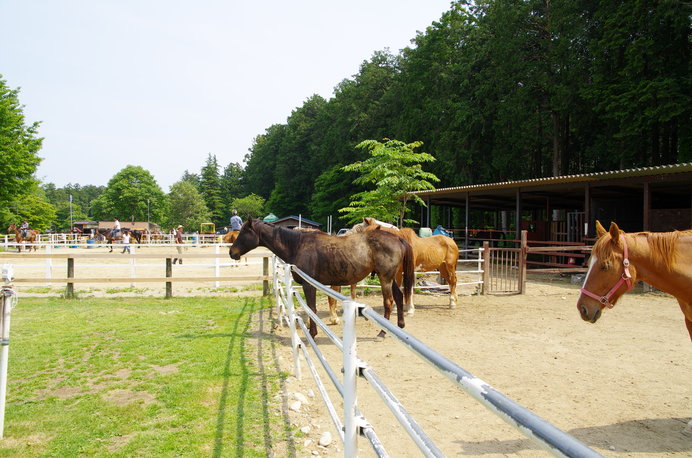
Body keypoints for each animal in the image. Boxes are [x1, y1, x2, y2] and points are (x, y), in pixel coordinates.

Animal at [227, 218, 414, 340]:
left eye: (244, 232)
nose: (231, 252)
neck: (298, 245)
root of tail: (398, 238)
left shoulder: (309, 285)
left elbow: (312, 308)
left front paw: (312, 333)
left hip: (385, 278)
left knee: (388, 302)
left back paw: (382, 333)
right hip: (390, 278)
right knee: (398, 297)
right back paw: (400, 326)